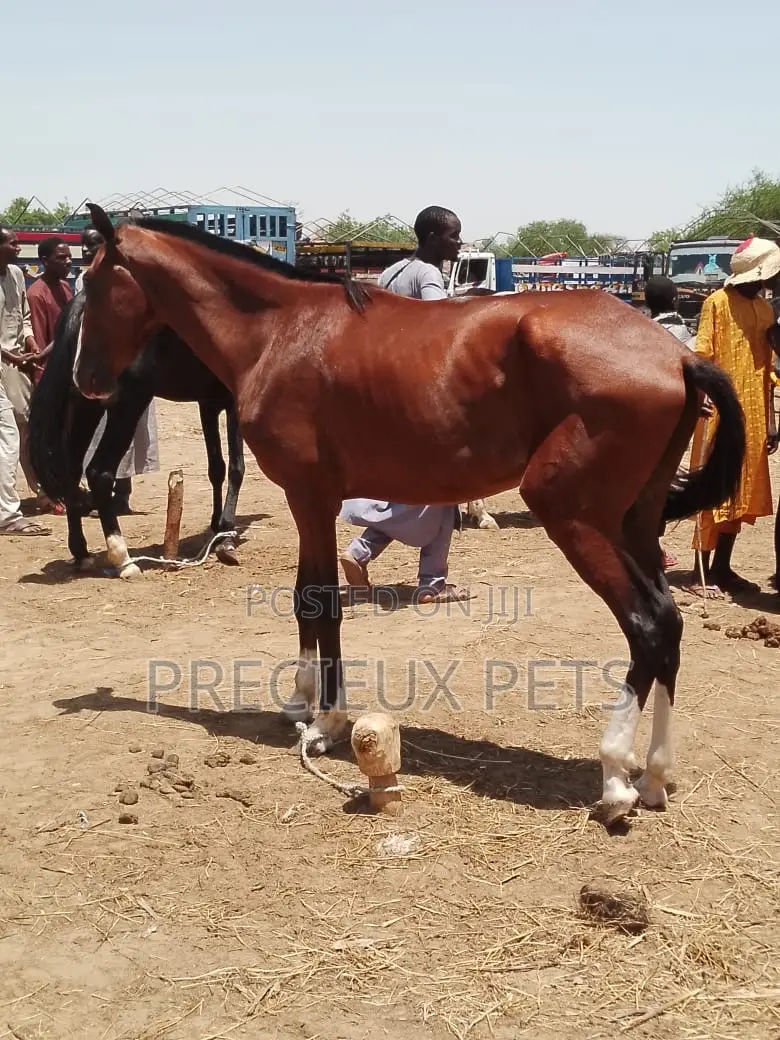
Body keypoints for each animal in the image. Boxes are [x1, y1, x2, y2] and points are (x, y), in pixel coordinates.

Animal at [29, 291, 245, 578]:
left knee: (71, 472)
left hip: (87, 406)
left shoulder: (207, 403)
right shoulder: (232, 402)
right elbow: (236, 468)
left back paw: (81, 553)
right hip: (128, 404)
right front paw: (226, 536)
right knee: (99, 473)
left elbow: (217, 469)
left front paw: (217, 525)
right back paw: (123, 559)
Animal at [72, 203, 746, 826]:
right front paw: (301, 702)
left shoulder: (309, 496)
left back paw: (615, 779)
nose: (86, 380)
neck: (281, 330)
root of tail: (675, 356)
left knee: (647, 625)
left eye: (97, 282)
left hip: (573, 516)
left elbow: (321, 601)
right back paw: (654, 776)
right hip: (635, 523)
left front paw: (329, 721)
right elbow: (305, 596)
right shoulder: (307, 499)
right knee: (669, 624)